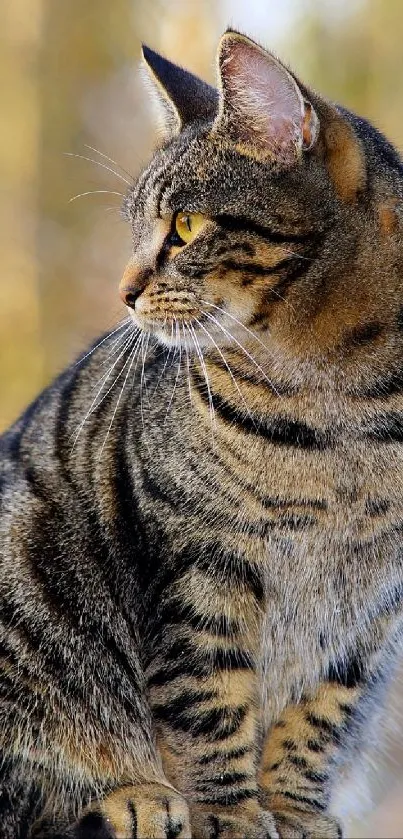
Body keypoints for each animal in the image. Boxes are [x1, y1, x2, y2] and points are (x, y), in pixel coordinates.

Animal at [0, 26, 403, 839]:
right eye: (134, 228)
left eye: (184, 227)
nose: (123, 290)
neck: (346, 408)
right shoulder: (200, 561)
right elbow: (207, 698)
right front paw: (231, 811)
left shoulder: (373, 607)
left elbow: (321, 713)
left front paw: (291, 807)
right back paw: (134, 796)